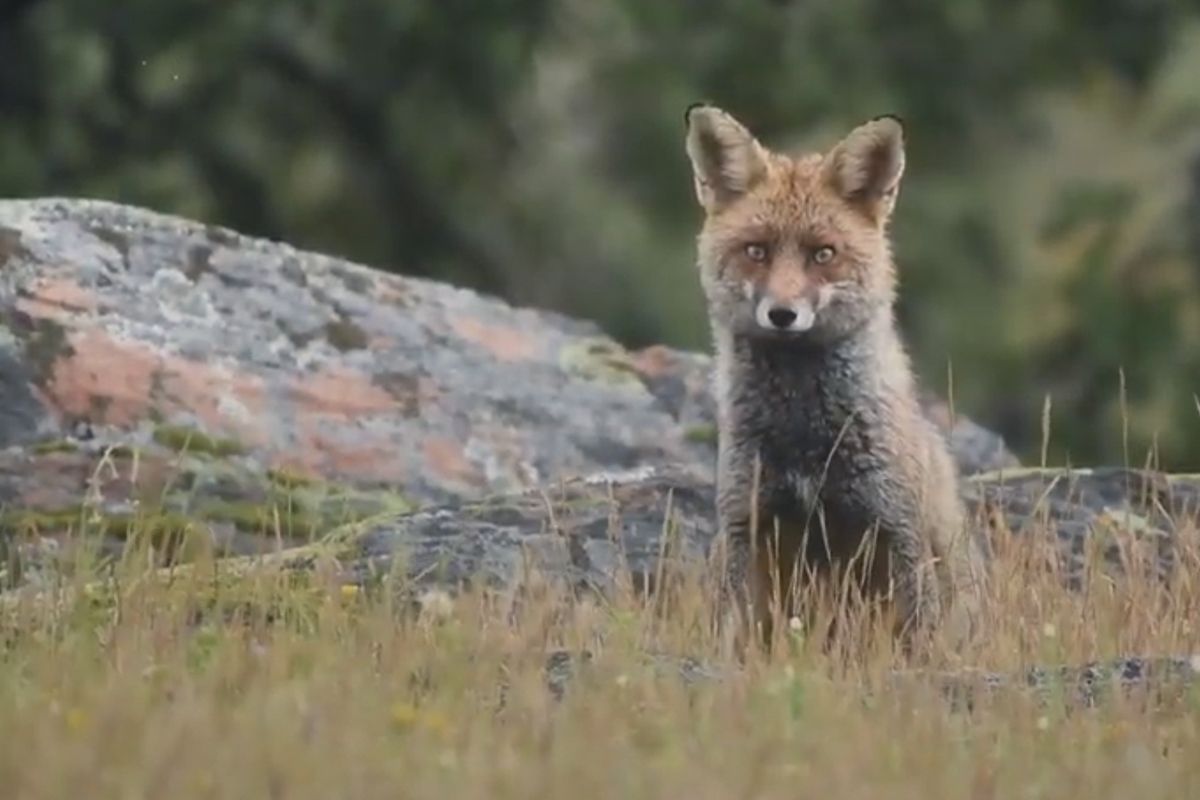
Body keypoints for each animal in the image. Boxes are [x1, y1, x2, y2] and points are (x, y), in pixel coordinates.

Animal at [686, 103, 984, 652]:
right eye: (756, 250)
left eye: (822, 253)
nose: (782, 315)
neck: (804, 437)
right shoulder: (745, 524)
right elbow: (732, 635)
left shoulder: (897, 531)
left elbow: (918, 643)